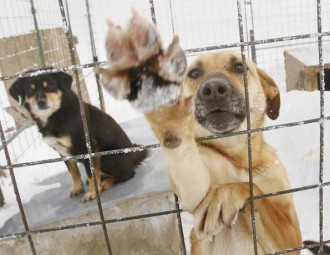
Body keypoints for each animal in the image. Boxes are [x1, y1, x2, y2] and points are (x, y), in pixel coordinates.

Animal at [9, 68, 148, 202]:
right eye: (29, 89)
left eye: (50, 85)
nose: (41, 102)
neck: (56, 115)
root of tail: (135, 156)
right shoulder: (62, 152)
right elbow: (74, 172)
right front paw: (77, 188)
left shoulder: (87, 147)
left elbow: (91, 174)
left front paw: (92, 193)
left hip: (108, 159)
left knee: (129, 173)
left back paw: (106, 183)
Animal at [96, 10, 302, 255]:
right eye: (194, 73)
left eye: (239, 67)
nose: (213, 89)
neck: (238, 156)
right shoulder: (194, 192)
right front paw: (169, 121)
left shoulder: (292, 235)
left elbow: (255, 189)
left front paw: (228, 192)